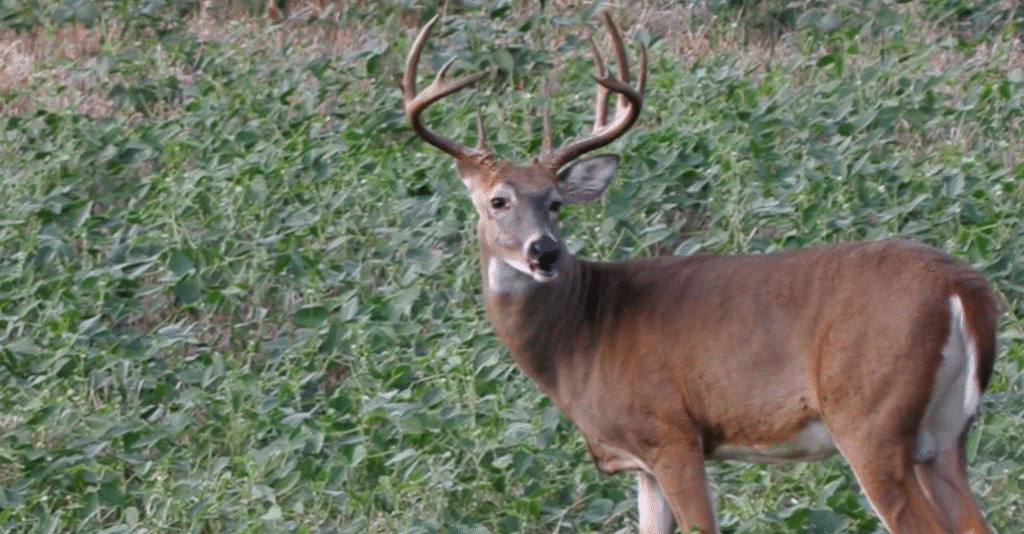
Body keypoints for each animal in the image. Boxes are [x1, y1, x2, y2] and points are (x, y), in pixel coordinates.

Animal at [402, 12, 998, 534]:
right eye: (497, 201)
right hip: (945, 434)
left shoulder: (671, 433)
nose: (544, 252)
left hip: (870, 418)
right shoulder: (641, 462)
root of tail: (963, 288)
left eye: (555, 203)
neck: (581, 336)